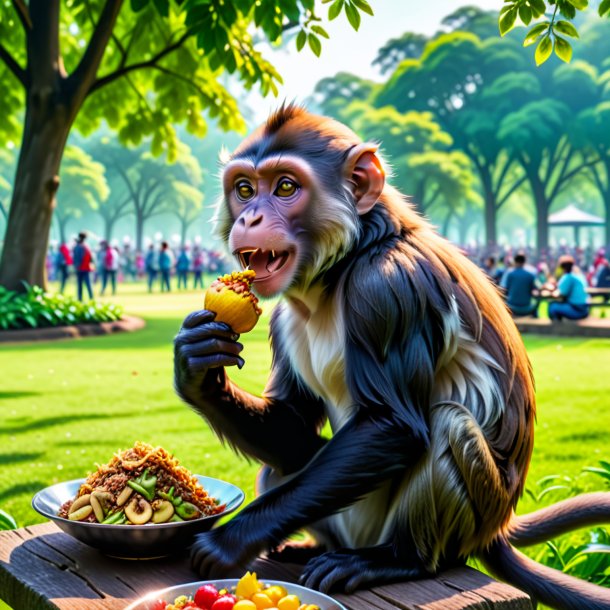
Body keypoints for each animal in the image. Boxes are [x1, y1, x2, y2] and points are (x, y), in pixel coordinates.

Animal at [170, 105, 608, 608]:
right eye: (244, 189)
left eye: (285, 186)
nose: (252, 216)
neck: (342, 267)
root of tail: (493, 528)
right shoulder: (283, 317)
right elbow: (291, 422)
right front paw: (198, 367)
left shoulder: (388, 290)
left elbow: (393, 424)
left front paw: (229, 541)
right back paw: (308, 547)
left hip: (455, 513)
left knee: (449, 423)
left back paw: (397, 559)